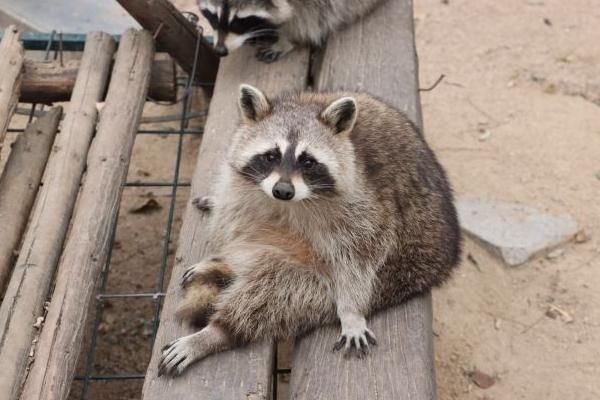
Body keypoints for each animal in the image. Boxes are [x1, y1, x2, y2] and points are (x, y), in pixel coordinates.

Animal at [157, 85, 462, 378]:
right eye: (271, 156)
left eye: (308, 161)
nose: (282, 190)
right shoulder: (245, 187)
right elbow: (235, 219)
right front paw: (220, 255)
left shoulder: (366, 203)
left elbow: (360, 255)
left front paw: (351, 311)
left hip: (375, 277)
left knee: (274, 292)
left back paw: (216, 332)